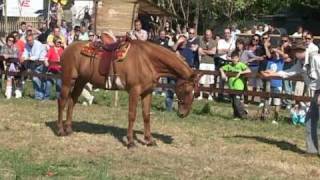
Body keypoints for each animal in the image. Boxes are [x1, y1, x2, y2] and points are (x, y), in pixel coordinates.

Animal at [56, 38, 199, 148]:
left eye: (196, 93)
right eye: (187, 90)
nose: (183, 113)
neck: (147, 60)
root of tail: (67, 48)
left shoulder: (147, 92)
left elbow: (146, 115)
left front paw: (149, 140)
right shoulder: (134, 91)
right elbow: (132, 115)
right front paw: (130, 142)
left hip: (81, 81)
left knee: (72, 100)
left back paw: (69, 129)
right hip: (68, 80)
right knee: (62, 101)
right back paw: (60, 130)